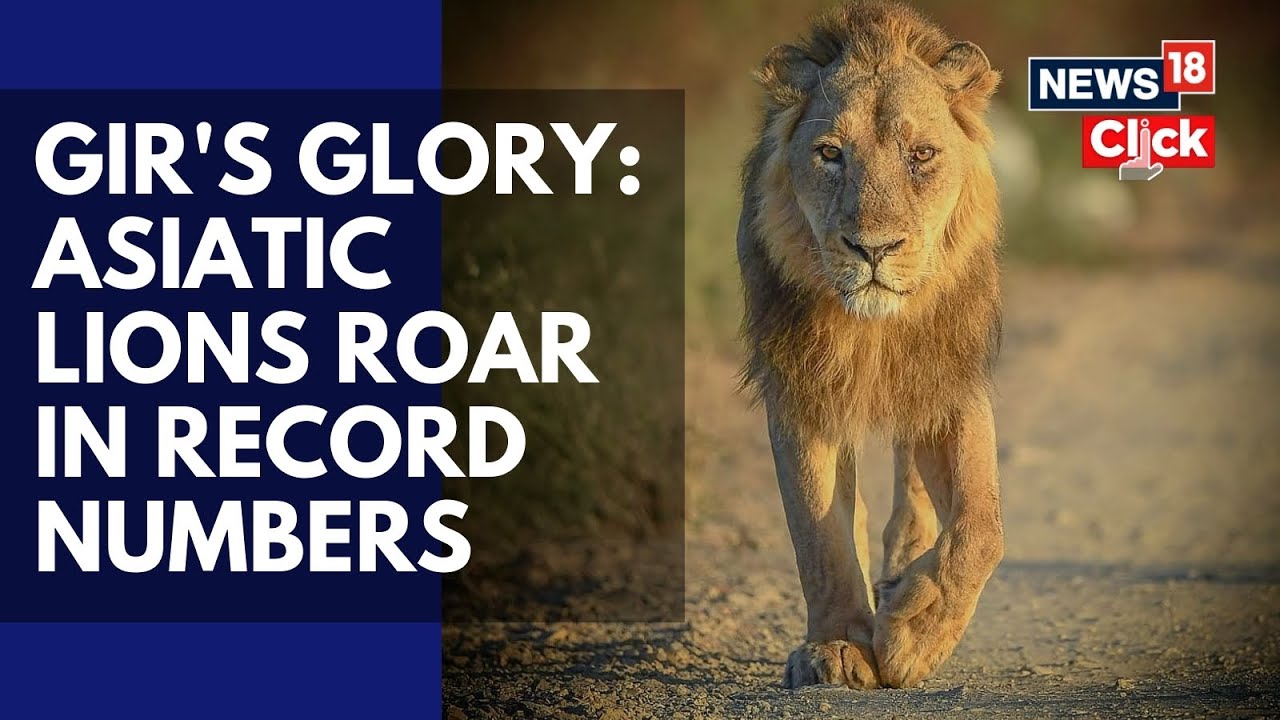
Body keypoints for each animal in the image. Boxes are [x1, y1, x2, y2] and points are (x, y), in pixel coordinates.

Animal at [737, 1, 1005, 689]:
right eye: (831, 153)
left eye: (923, 153)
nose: (874, 249)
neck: (875, 326)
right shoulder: (802, 387)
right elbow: (820, 534)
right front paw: (836, 646)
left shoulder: (948, 375)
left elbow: (981, 526)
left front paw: (914, 636)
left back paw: (905, 571)